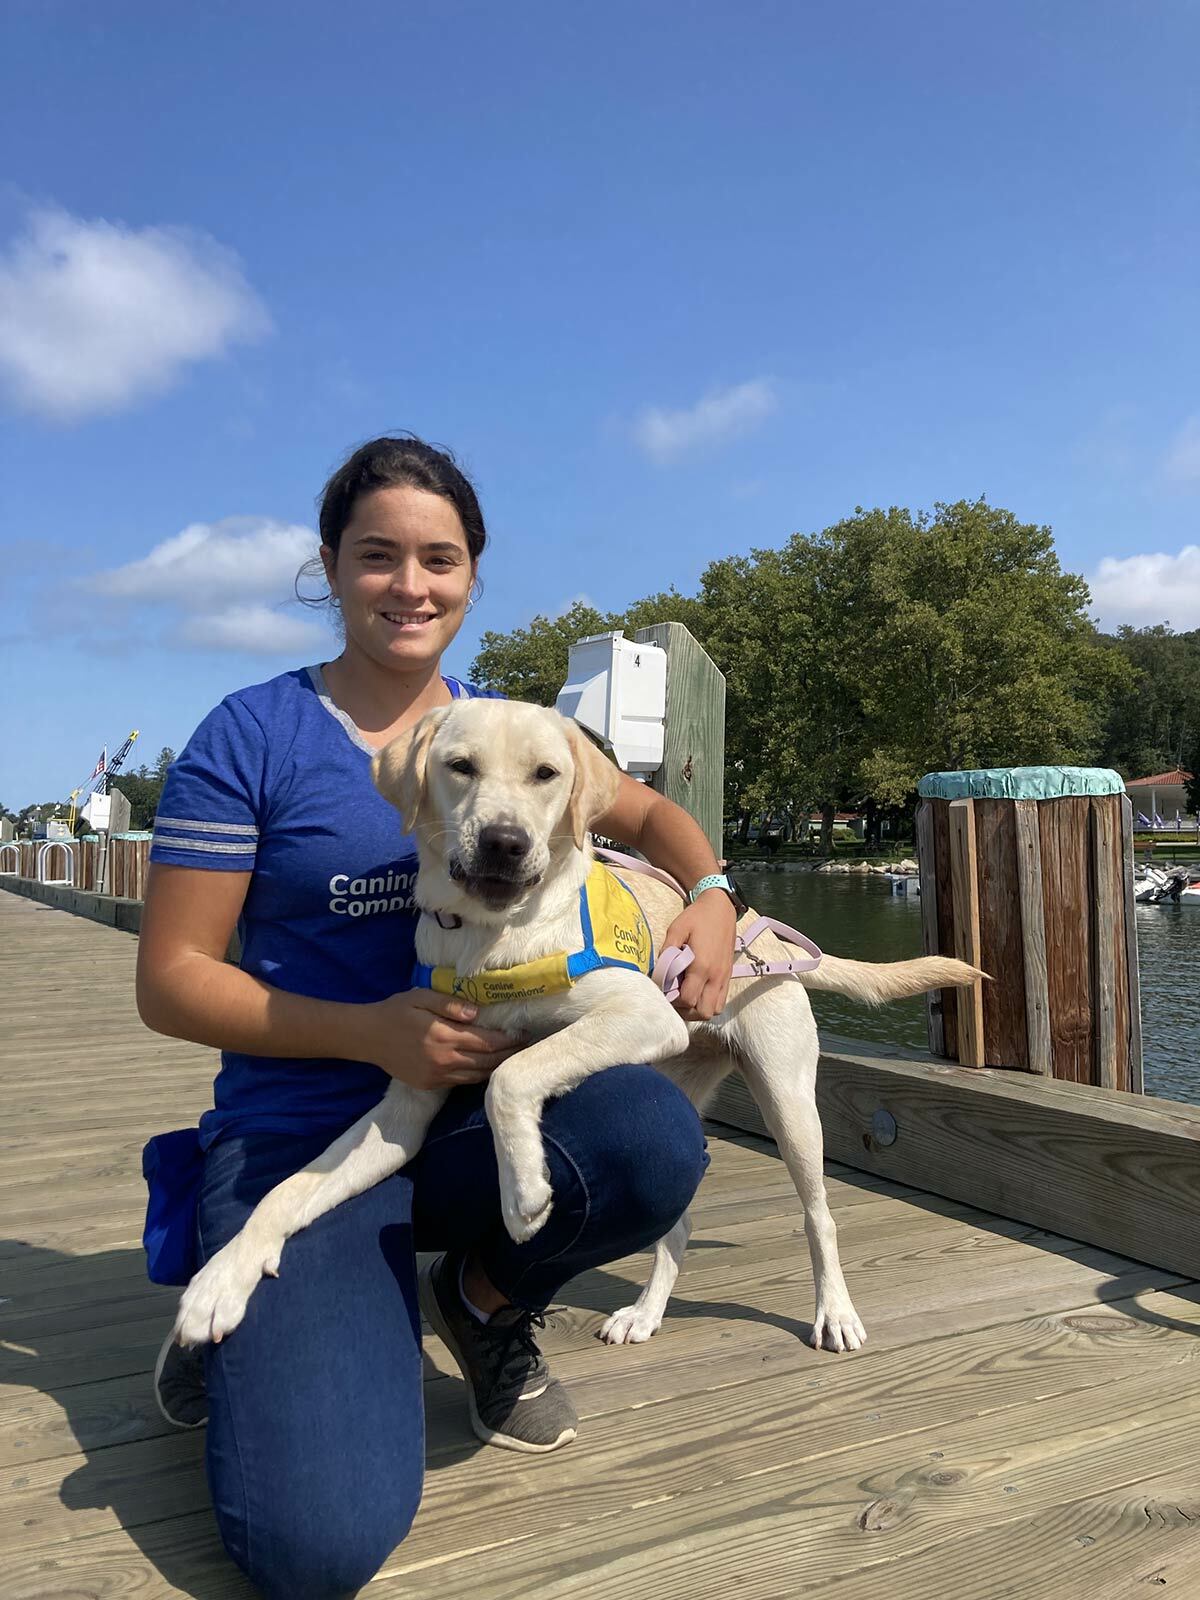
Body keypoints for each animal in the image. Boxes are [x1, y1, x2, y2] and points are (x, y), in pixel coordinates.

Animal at [178, 697, 985, 1350]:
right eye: (459, 767)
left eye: (546, 774)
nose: (504, 842)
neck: (491, 938)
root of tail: (765, 929)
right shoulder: (406, 1103)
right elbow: (286, 1189)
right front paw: (220, 1280)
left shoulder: (638, 1011)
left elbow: (510, 1072)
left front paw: (525, 1192)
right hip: (672, 1084)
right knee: (676, 1222)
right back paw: (646, 1314)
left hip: (788, 1100)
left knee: (819, 1215)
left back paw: (835, 1314)